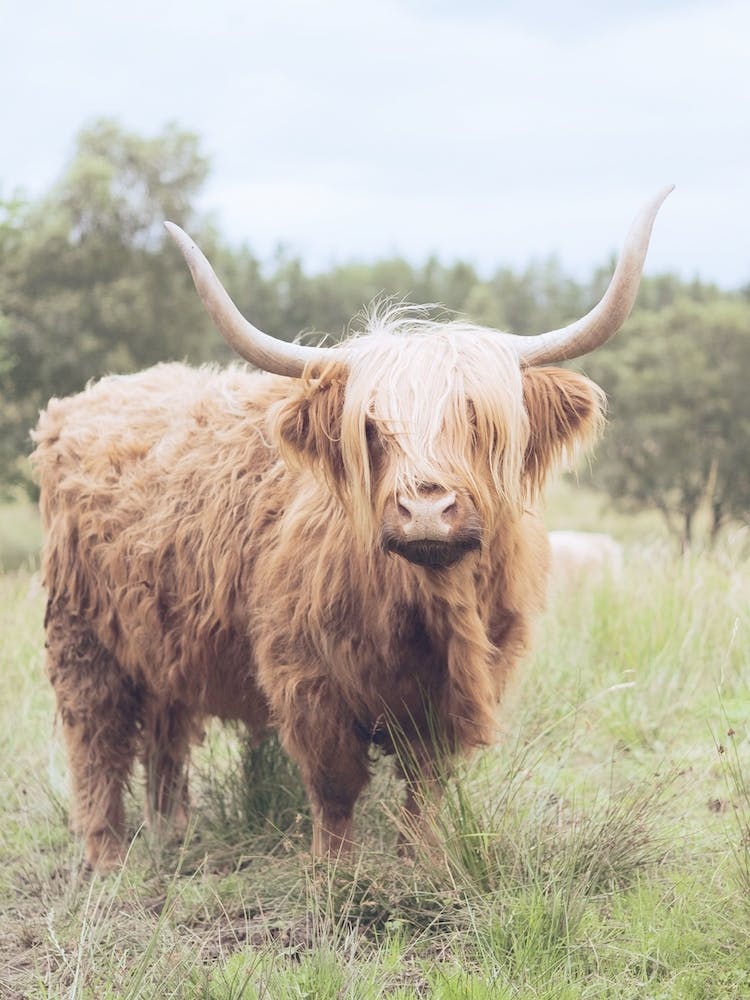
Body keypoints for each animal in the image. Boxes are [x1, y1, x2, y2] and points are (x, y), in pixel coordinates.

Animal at [32, 187, 672, 871]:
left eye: (477, 420)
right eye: (371, 426)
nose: (426, 510)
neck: (426, 609)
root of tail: (87, 399)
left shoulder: (461, 688)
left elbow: (425, 785)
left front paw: (423, 863)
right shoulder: (308, 680)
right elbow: (335, 786)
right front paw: (335, 876)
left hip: (162, 639)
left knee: (166, 733)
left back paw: (171, 833)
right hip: (81, 636)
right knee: (96, 741)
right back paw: (108, 859)